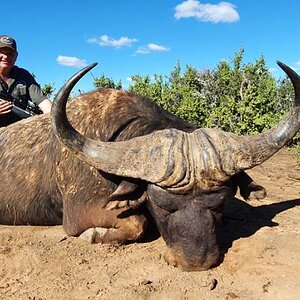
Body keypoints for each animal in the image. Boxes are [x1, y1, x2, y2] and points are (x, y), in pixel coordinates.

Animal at [0, 61, 300, 272]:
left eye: (221, 203)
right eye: (161, 205)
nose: (196, 262)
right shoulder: (78, 214)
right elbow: (137, 224)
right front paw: (93, 235)